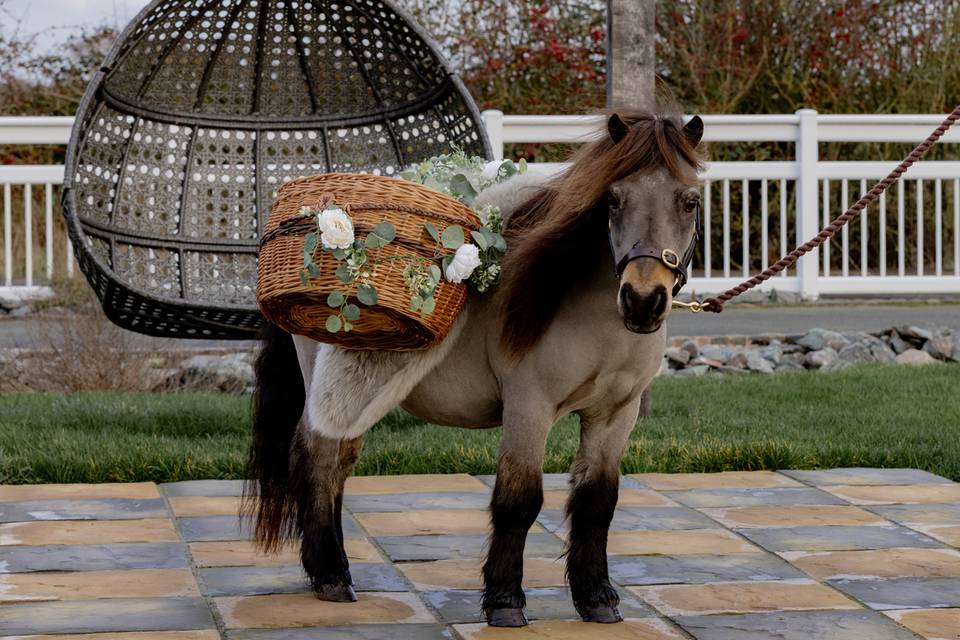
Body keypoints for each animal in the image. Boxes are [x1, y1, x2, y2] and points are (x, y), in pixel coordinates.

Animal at [246, 110, 705, 627]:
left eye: (690, 201)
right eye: (612, 199)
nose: (643, 301)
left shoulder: (615, 416)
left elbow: (597, 502)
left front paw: (597, 597)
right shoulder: (529, 409)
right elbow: (519, 500)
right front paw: (504, 600)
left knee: (337, 466)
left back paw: (334, 567)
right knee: (317, 461)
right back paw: (329, 576)